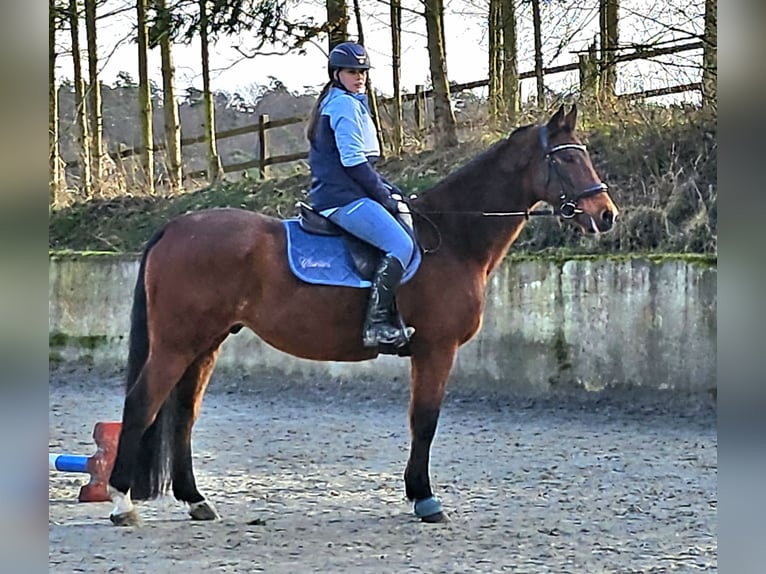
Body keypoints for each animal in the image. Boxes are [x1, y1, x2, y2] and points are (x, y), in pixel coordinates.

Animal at [107, 104, 619, 526]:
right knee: (141, 403)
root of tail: (175, 227)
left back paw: (196, 501)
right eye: (566, 160)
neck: (455, 237)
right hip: (177, 344)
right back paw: (121, 503)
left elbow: (421, 420)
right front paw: (425, 499)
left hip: (205, 343)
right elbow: (425, 420)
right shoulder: (436, 349)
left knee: (184, 415)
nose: (606, 214)